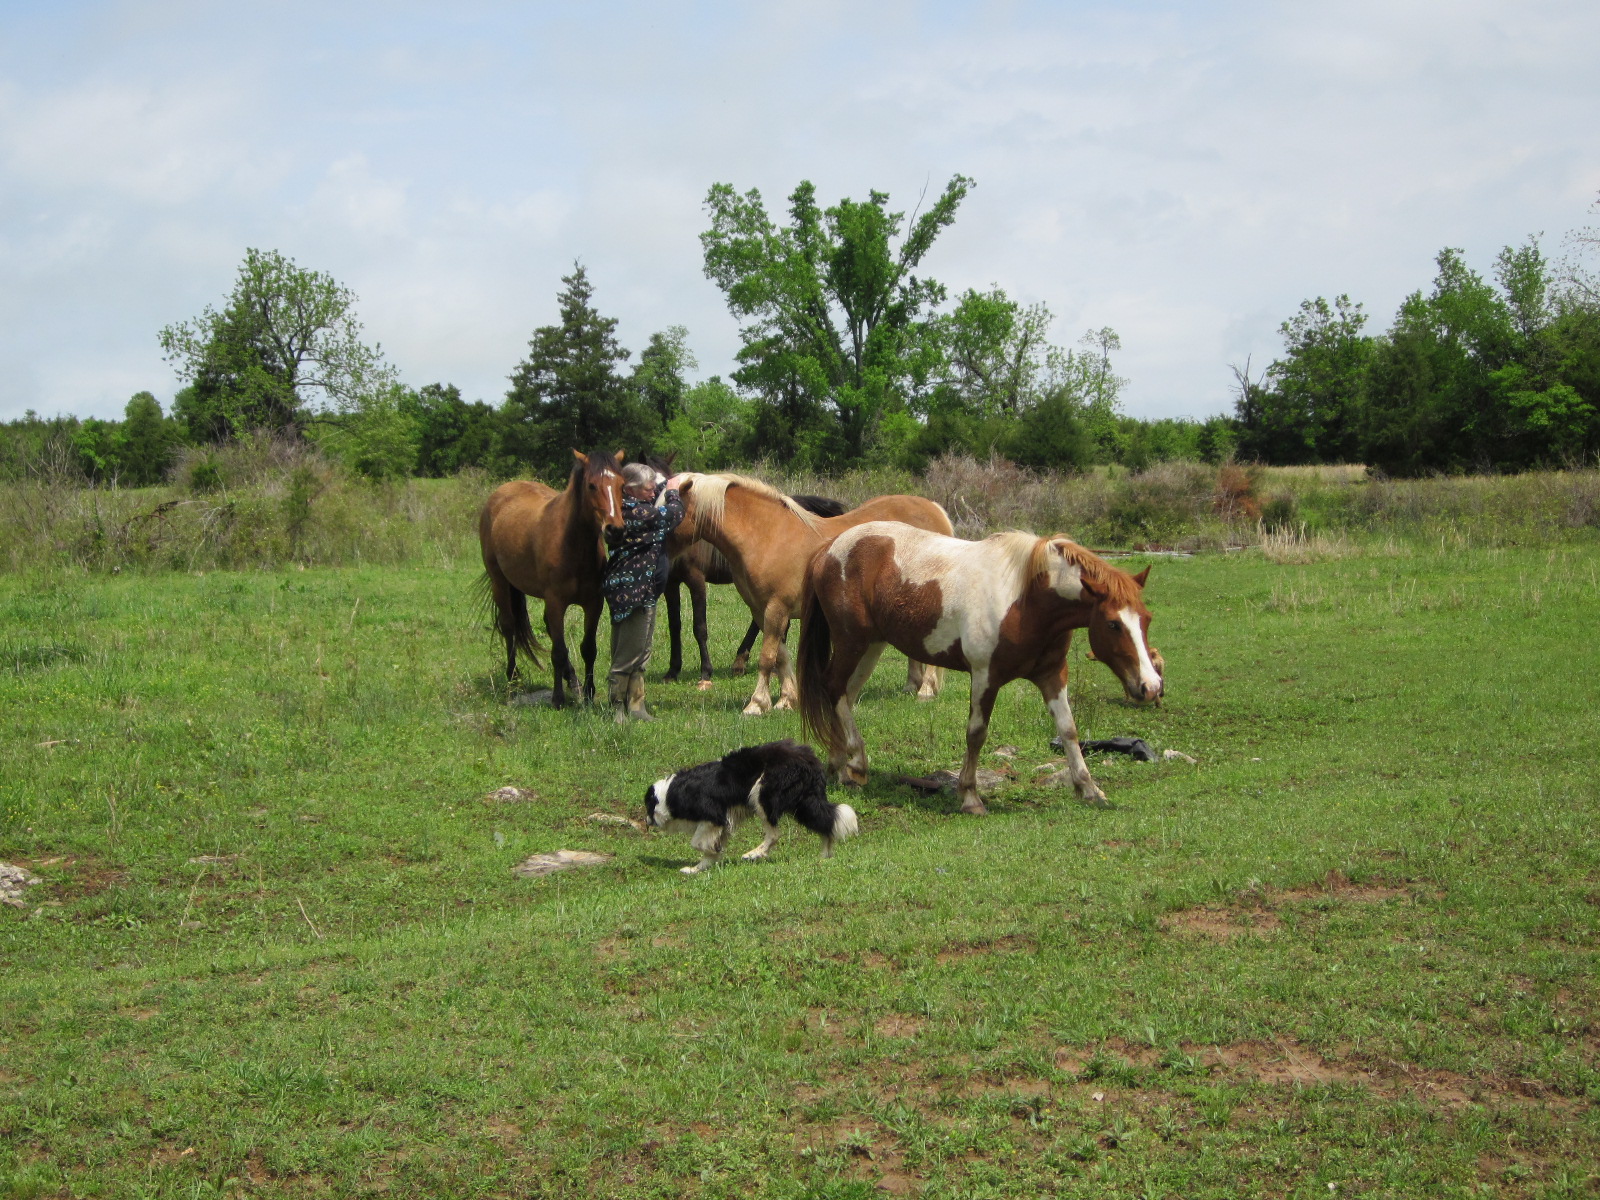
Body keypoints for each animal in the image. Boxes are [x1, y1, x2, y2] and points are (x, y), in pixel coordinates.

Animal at [477, 449, 627, 707]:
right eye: (591, 485)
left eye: (621, 484)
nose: (614, 529)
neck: (573, 545)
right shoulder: (556, 602)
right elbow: (558, 651)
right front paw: (557, 698)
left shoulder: (594, 603)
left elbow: (588, 648)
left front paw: (588, 692)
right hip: (500, 583)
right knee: (509, 628)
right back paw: (513, 679)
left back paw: (573, 681)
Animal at [644, 740, 859, 874]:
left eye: (647, 808)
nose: (646, 822)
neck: (669, 794)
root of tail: (809, 759)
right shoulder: (722, 822)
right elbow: (711, 847)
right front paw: (698, 868)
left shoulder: (713, 816)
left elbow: (697, 843)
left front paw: (710, 855)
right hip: (804, 802)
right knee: (826, 823)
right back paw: (824, 857)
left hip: (761, 793)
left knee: (774, 834)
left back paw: (753, 854)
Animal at [671, 473, 954, 715]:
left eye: (667, 510)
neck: (767, 536)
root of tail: (935, 510)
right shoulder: (762, 611)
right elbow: (781, 657)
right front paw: (786, 700)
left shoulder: (776, 608)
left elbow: (767, 657)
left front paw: (756, 704)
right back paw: (912, 685)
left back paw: (926, 689)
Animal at [797, 522, 1164, 814]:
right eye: (1113, 624)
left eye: (1147, 619)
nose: (1150, 687)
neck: (1025, 600)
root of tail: (829, 548)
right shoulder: (986, 676)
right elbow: (976, 734)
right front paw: (970, 797)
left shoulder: (1051, 675)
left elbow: (1068, 729)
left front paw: (1089, 789)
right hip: (852, 642)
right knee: (834, 689)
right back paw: (856, 764)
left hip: (871, 646)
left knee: (843, 695)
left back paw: (840, 765)